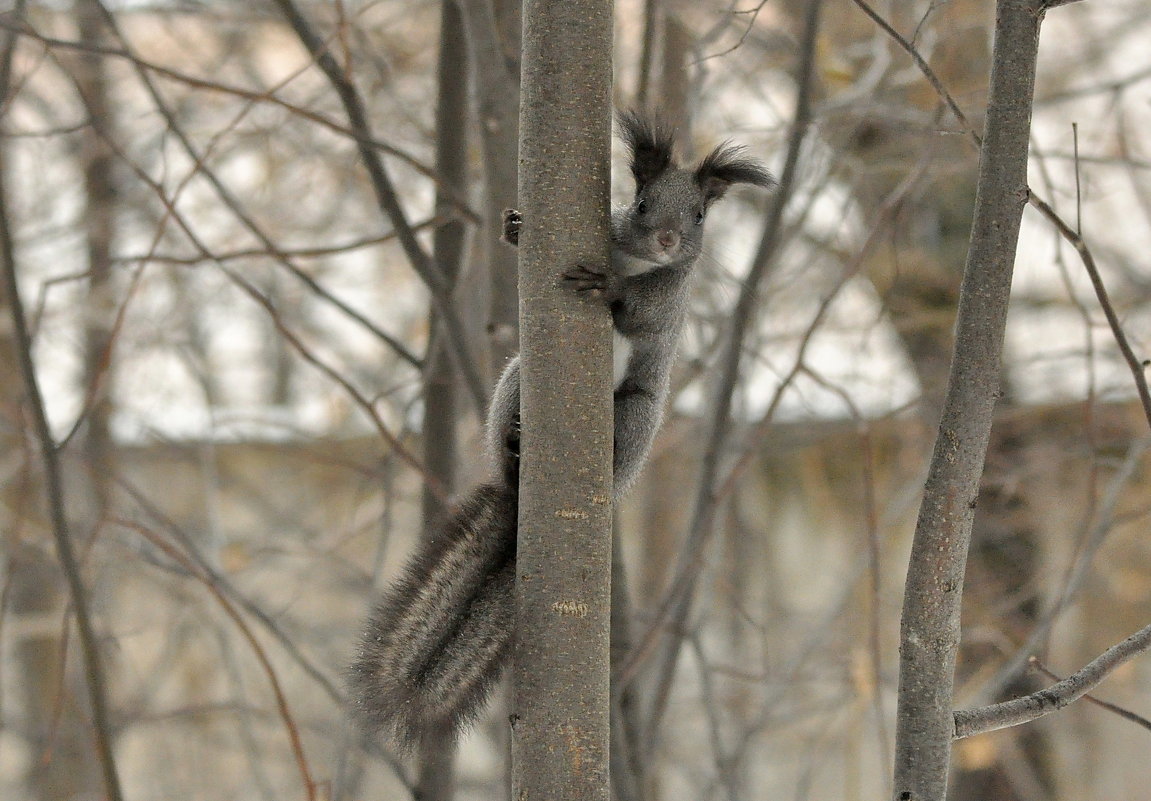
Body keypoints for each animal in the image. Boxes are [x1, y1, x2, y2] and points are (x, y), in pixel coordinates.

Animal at [345, 109, 768, 754]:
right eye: (641, 203)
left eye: (699, 215)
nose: (669, 240)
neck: (638, 263)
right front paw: (515, 227)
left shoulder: (672, 299)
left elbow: (644, 310)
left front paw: (611, 289)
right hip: (517, 378)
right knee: (509, 434)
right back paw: (516, 446)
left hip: (636, 419)